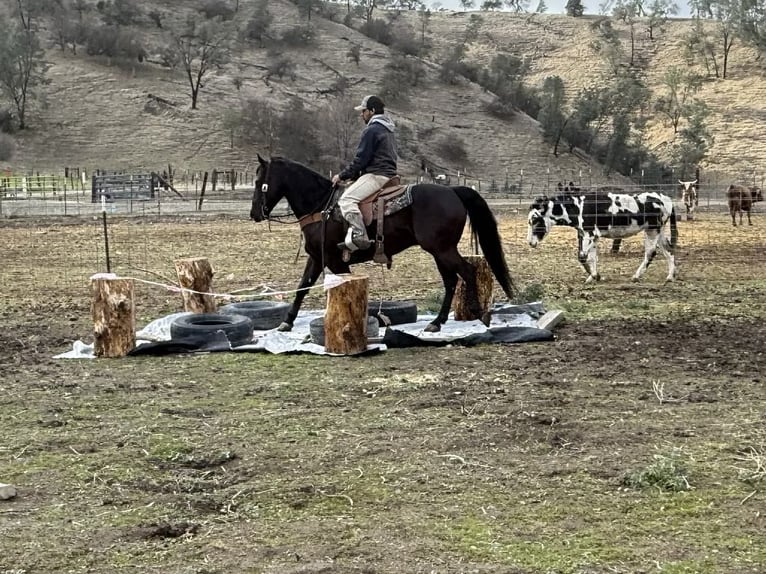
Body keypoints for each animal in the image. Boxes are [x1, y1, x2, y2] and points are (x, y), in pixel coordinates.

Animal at [252, 155, 516, 332]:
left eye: (259, 182)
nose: (255, 214)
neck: (322, 207)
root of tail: (452, 191)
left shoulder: (336, 261)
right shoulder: (317, 258)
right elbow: (302, 287)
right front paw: (287, 321)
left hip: (442, 250)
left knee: (467, 272)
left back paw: (479, 314)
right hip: (440, 251)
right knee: (451, 280)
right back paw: (437, 322)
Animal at [528, 191, 680, 284]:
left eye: (535, 220)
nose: (530, 242)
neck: (579, 208)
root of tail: (665, 198)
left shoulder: (590, 234)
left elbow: (582, 256)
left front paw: (596, 276)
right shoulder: (589, 236)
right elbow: (592, 257)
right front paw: (593, 277)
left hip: (653, 230)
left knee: (651, 253)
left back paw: (637, 276)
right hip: (659, 231)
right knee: (669, 250)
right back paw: (670, 277)